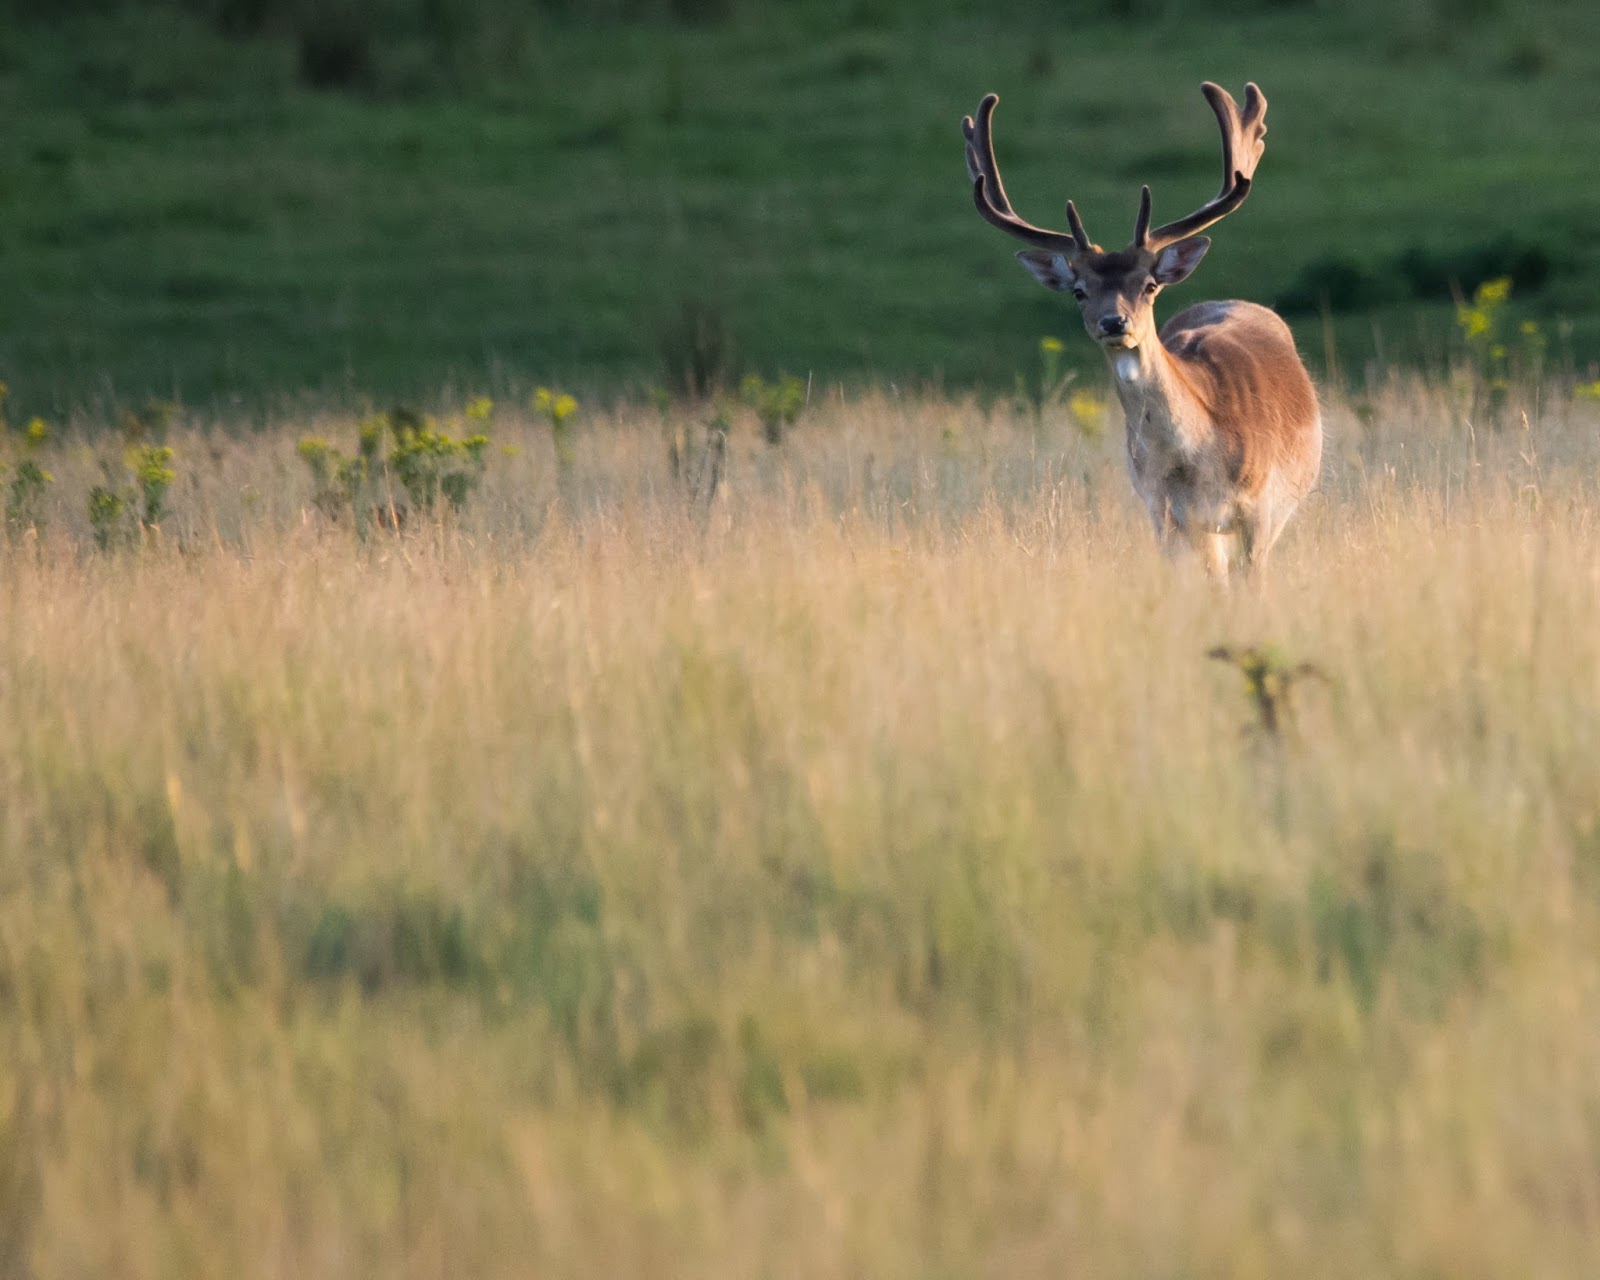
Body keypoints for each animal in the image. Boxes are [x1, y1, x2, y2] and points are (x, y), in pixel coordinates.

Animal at [962, 82, 1321, 579]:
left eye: (1149, 285)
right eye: (1079, 291)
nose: (1115, 322)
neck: (1201, 464)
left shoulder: (1260, 511)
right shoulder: (1164, 514)